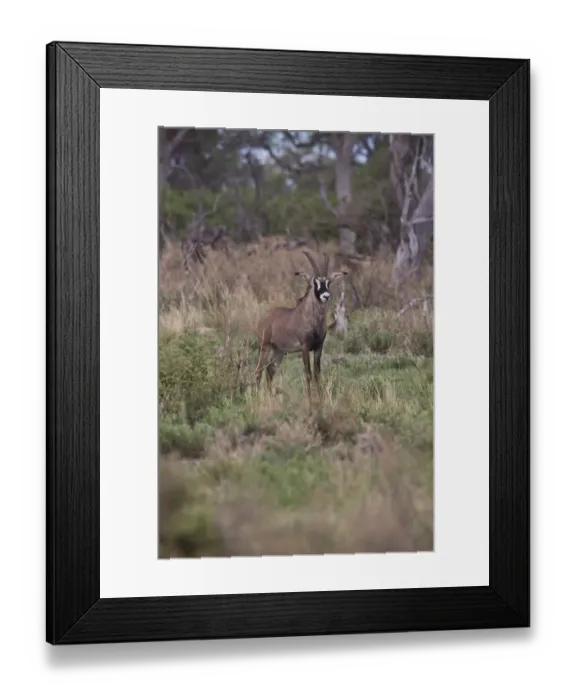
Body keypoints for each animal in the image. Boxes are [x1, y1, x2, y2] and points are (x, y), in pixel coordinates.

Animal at [254, 251, 347, 406]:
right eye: (315, 282)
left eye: (328, 282)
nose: (326, 296)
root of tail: (264, 318)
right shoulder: (304, 347)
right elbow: (308, 374)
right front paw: (309, 401)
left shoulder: (318, 348)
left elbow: (317, 374)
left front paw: (320, 400)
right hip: (265, 347)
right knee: (258, 371)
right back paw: (258, 401)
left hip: (279, 351)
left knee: (270, 371)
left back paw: (270, 399)